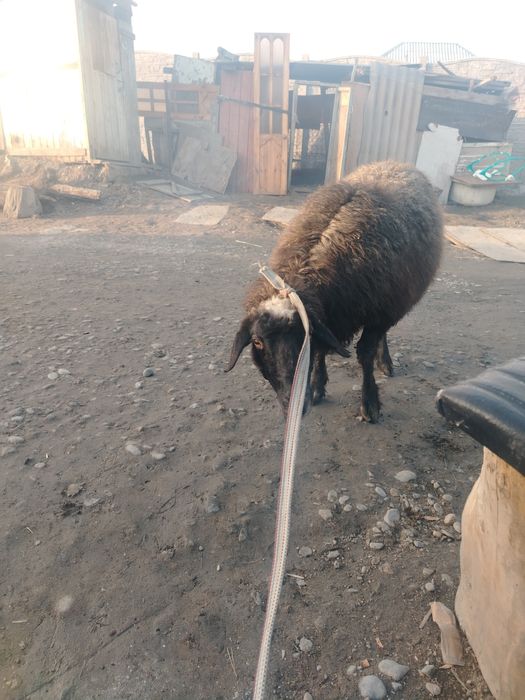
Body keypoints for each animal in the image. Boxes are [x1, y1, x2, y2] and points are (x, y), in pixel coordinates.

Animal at [226, 161, 443, 422]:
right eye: (257, 342)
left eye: (304, 337)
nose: (294, 407)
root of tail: (396, 163)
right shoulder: (330, 319)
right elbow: (321, 352)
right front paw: (317, 387)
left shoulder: (376, 313)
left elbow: (365, 354)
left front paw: (370, 403)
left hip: (392, 303)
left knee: (383, 335)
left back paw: (385, 362)